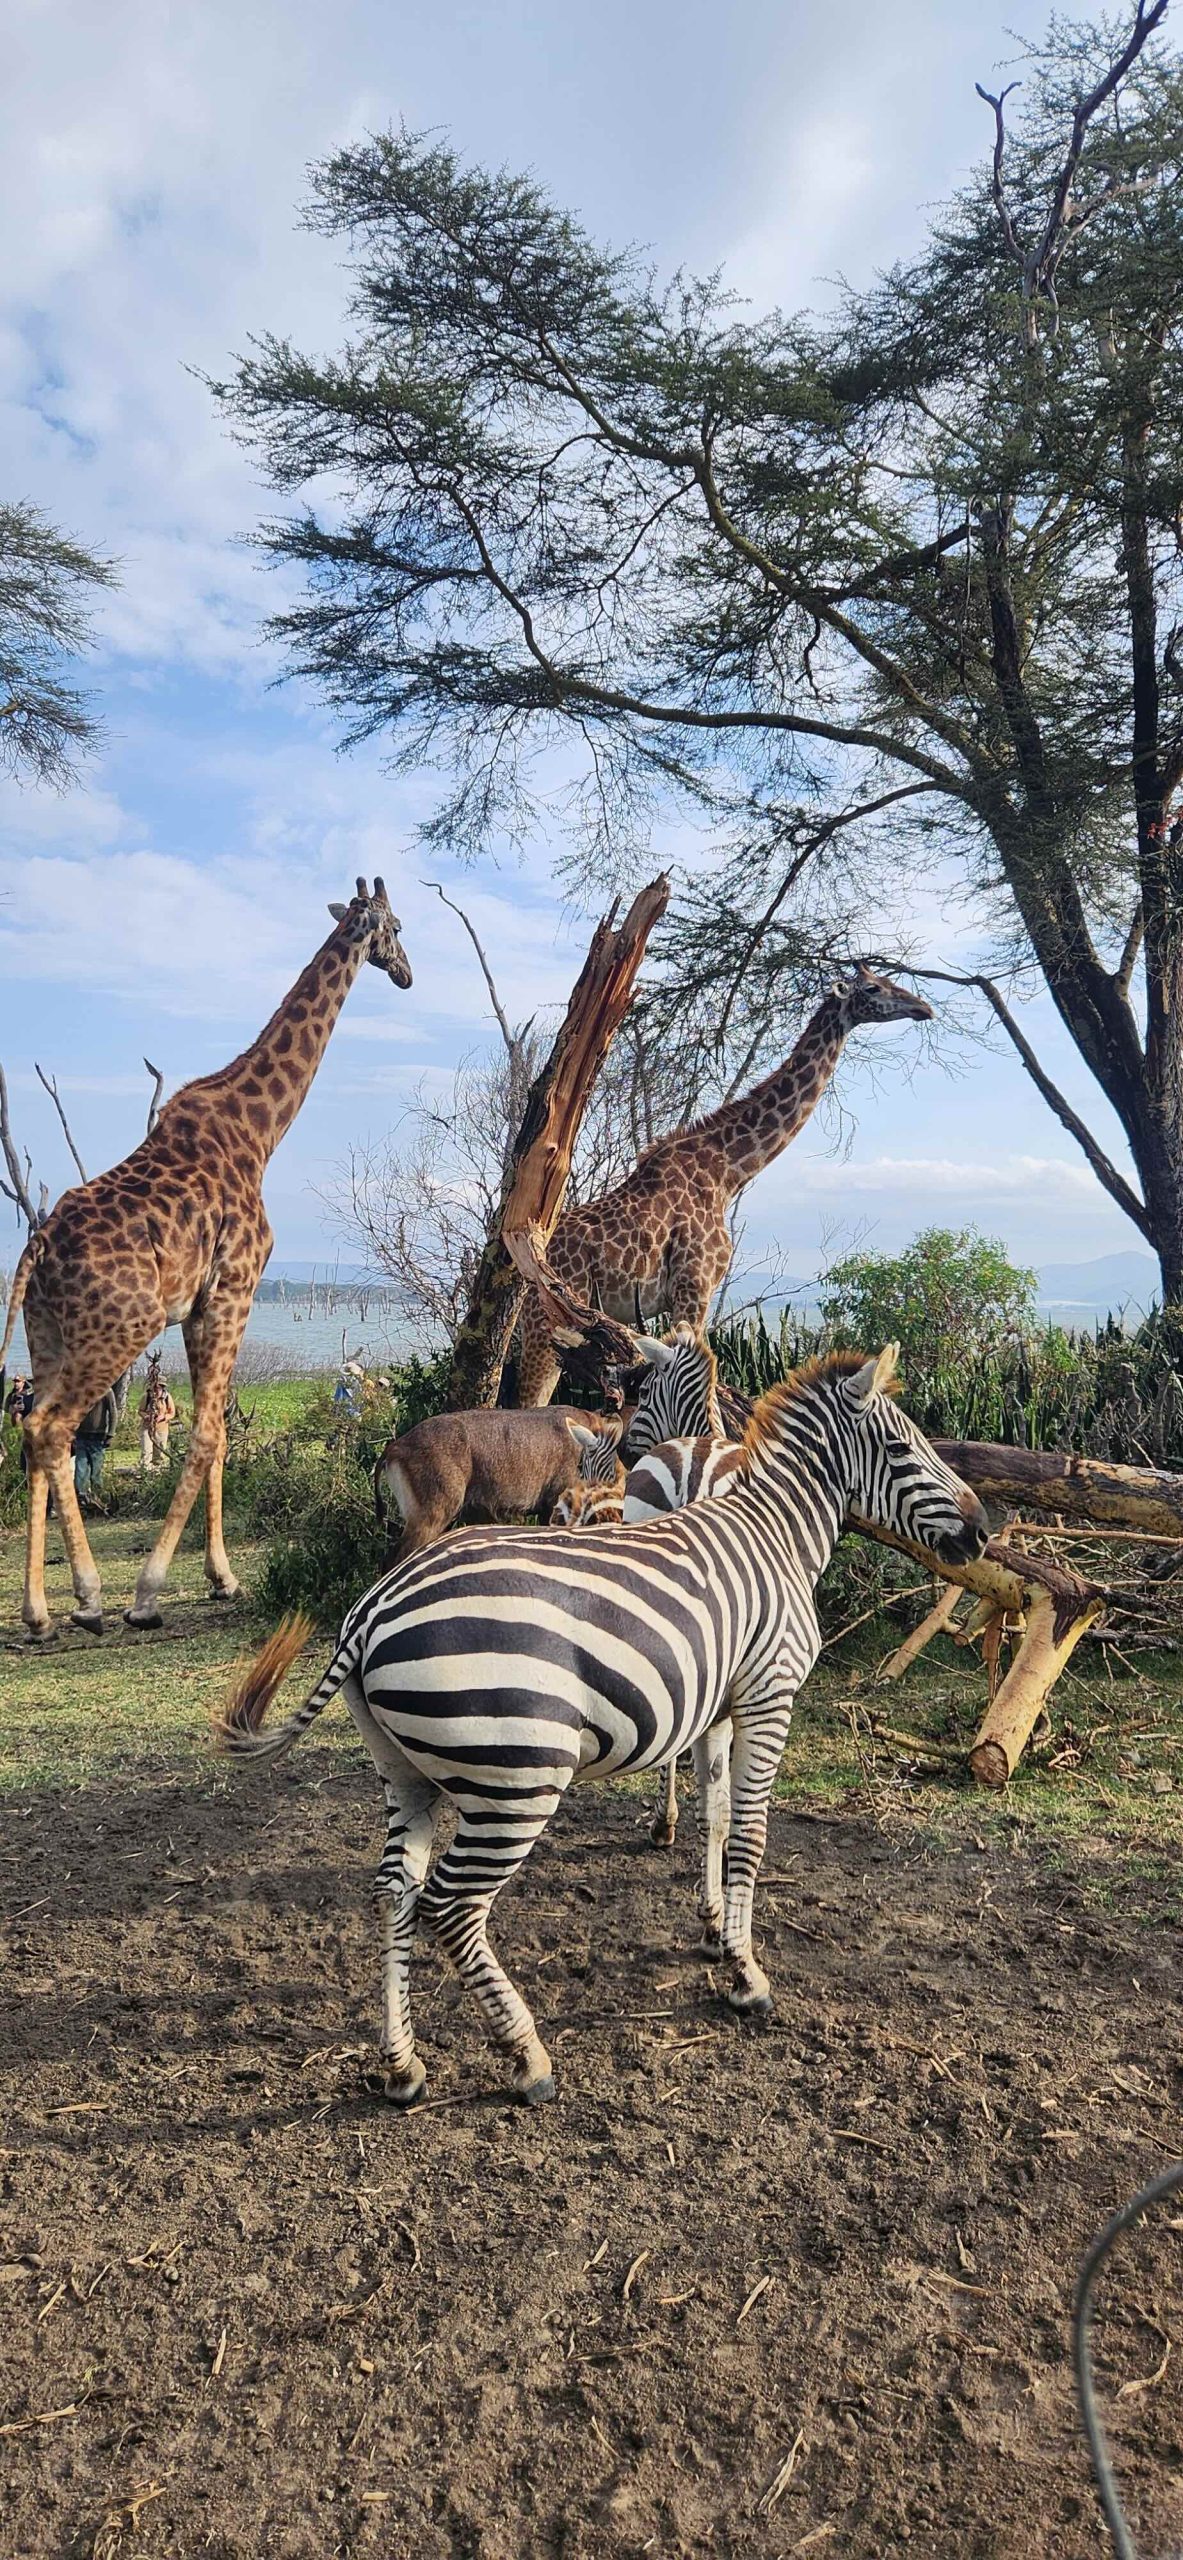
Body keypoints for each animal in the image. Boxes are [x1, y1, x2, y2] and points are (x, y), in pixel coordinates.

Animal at [0, 878, 411, 1639]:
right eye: (395, 927)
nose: (405, 972)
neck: (261, 1130)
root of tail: (36, 1245)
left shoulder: (201, 1304)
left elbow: (214, 1433)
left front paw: (221, 1578)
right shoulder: (233, 1289)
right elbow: (207, 1432)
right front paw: (148, 1592)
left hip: (48, 1331)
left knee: (45, 1439)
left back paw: (54, 1606)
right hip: (121, 1326)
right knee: (49, 1429)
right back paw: (83, 1599)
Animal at [213, 1346, 988, 2109]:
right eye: (901, 1447)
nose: (983, 1532)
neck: (774, 1536)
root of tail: (370, 1612)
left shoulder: (719, 1701)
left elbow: (713, 1815)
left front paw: (714, 1929)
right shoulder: (769, 1696)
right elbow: (749, 1836)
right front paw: (745, 1976)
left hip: (405, 1771)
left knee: (394, 1893)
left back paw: (401, 2065)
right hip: (517, 1779)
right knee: (451, 1906)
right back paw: (527, 2057)